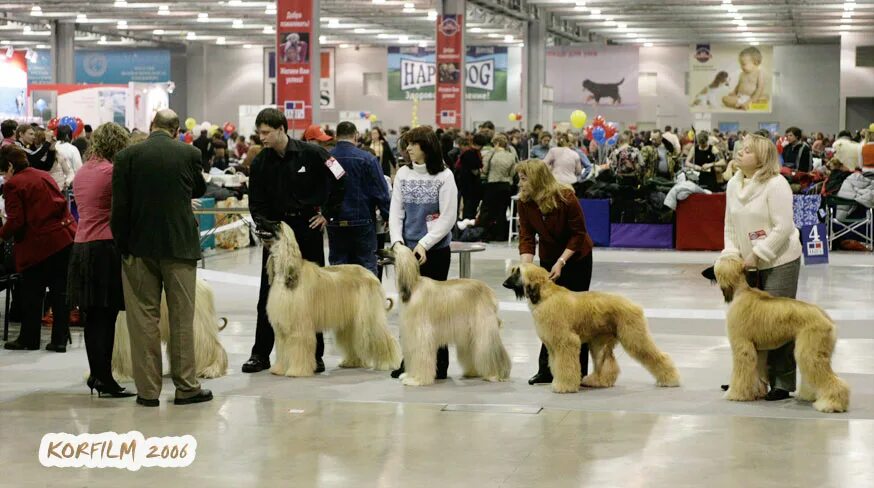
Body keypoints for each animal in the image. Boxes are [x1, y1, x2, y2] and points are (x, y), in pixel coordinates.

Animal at [376, 243, 510, 386]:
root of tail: (490, 292)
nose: (376, 250)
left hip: (484, 328)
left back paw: (496, 375)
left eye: (392, 248)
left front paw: (416, 379)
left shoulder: (421, 333)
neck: (413, 286)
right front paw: (408, 375)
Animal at [500, 264, 676, 394]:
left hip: (633, 336)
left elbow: (565, 365)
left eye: (518, 271)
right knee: (605, 363)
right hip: (599, 342)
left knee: (657, 356)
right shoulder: (553, 345)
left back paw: (670, 379)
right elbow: (556, 365)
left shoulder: (566, 341)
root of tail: (634, 304)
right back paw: (598, 381)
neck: (546, 295)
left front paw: (564, 386)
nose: (504, 284)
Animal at [712, 255, 848, 412]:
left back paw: (832, 404)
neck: (741, 291)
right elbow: (757, 373)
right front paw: (757, 392)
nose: (705, 272)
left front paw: (736, 394)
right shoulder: (758, 350)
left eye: (715, 266)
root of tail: (827, 319)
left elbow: (741, 372)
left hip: (810, 350)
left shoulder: (743, 345)